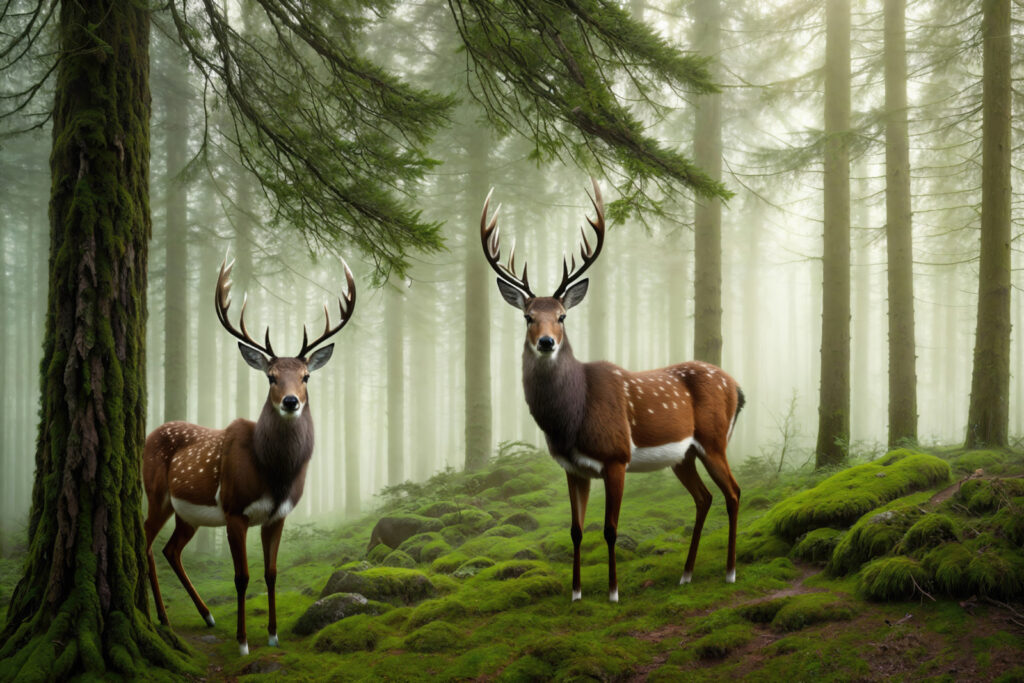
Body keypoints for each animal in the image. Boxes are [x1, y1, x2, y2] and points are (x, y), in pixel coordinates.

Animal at [142, 256, 355, 655]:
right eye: (271, 376)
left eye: (306, 376)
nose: (291, 402)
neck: (273, 473)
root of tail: (149, 433)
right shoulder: (234, 508)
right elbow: (241, 576)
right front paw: (242, 642)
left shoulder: (279, 514)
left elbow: (271, 573)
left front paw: (272, 635)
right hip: (157, 494)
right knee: (145, 540)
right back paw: (162, 617)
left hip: (187, 513)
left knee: (170, 549)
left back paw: (207, 615)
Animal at [481, 179, 745, 603]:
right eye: (527, 316)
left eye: (562, 316)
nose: (546, 342)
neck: (569, 421)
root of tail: (737, 386)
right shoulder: (572, 467)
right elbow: (575, 530)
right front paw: (575, 594)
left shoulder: (616, 457)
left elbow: (609, 529)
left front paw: (613, 593)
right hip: (684, 455)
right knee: (703, 498)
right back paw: (685, 575)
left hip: (714, 439)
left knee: (733, 492)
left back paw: (730, 572)